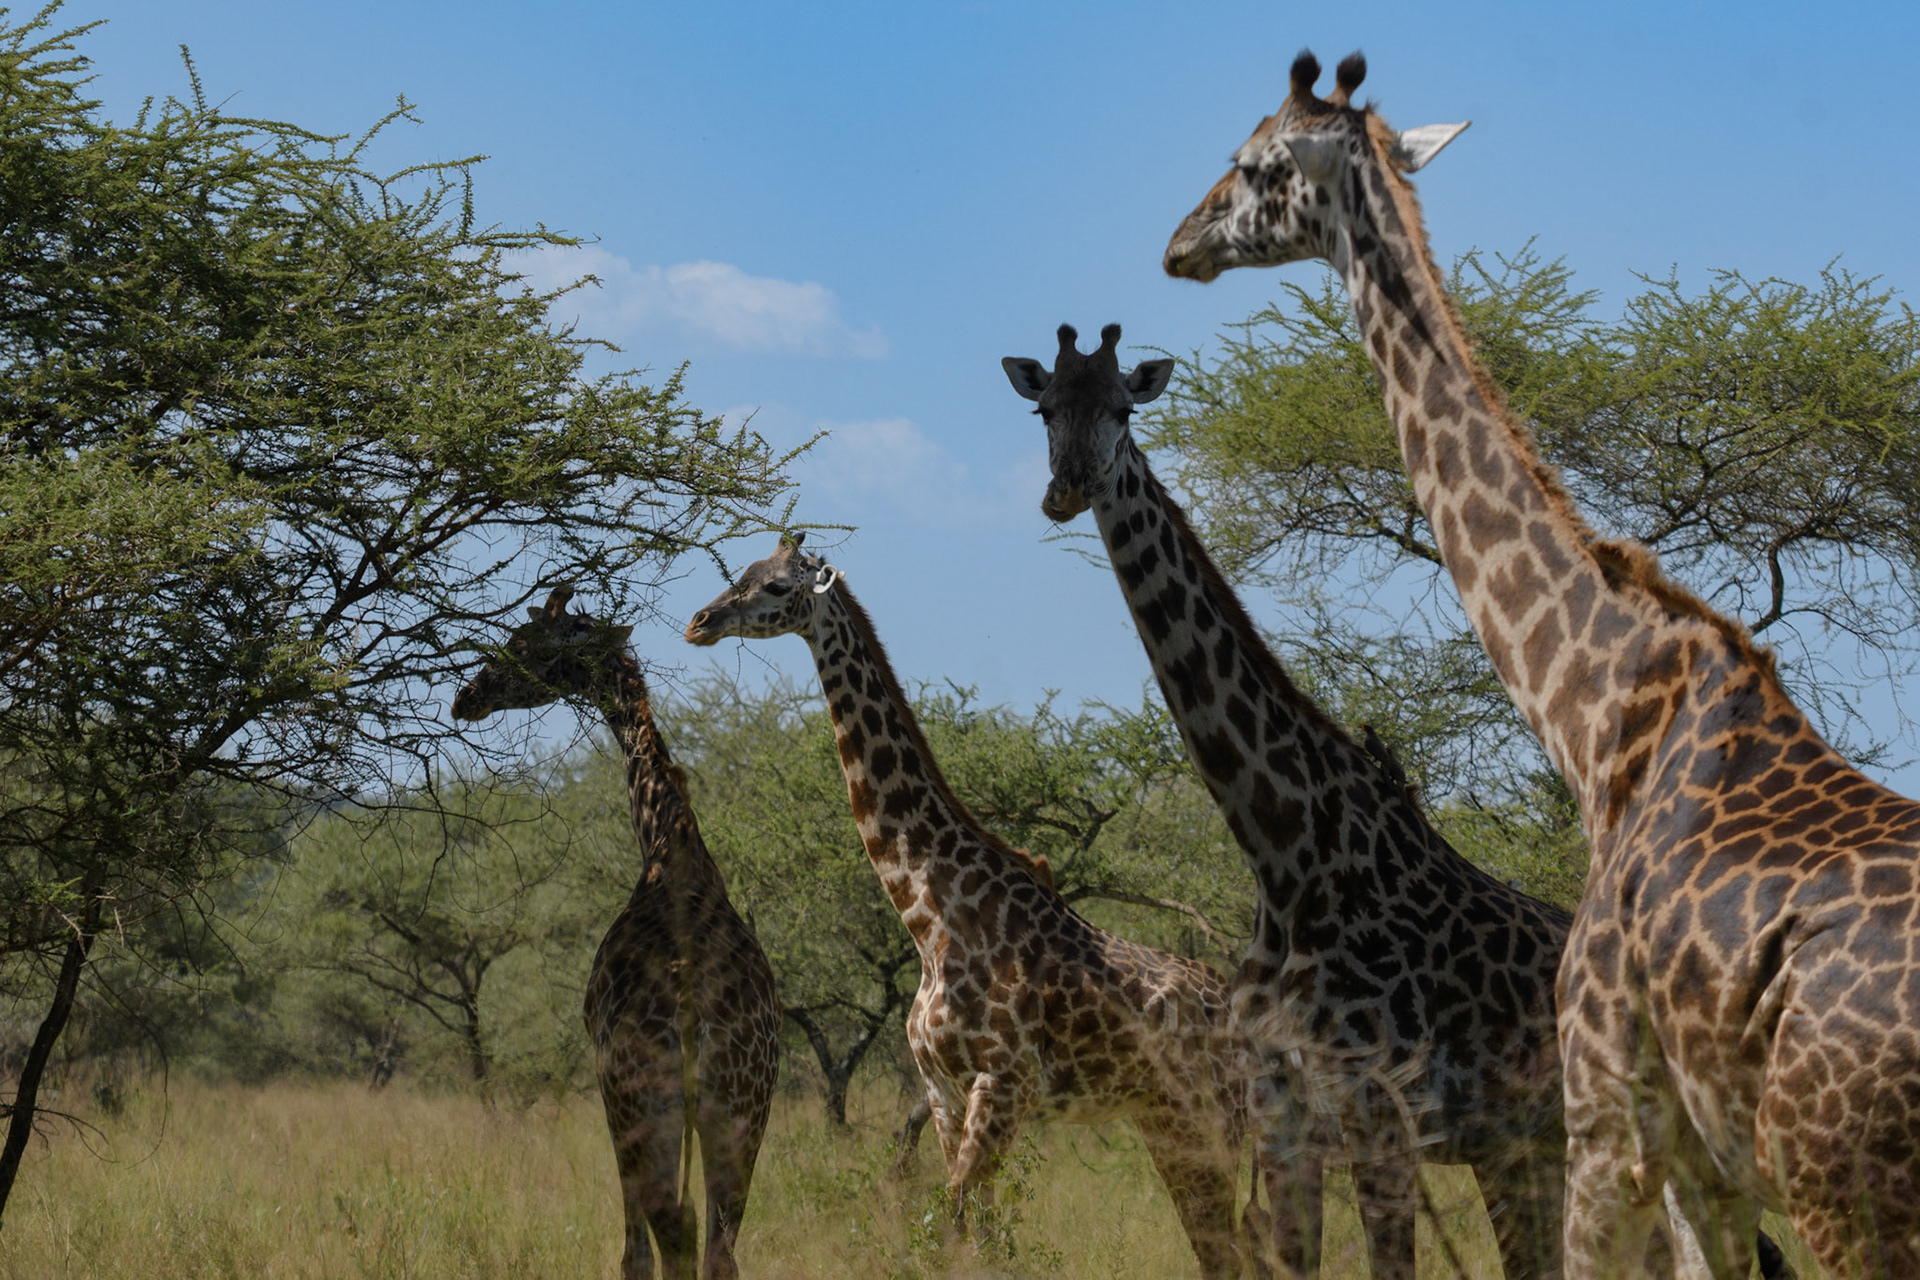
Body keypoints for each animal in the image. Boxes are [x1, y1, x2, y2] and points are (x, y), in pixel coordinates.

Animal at [452, 588, 780, 1280]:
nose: (466, 696)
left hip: (640, 1105)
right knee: (720, 1249)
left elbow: (633, 1254)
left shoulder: (605, 1083)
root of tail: (690, 1018)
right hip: (744, 1109)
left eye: (525, 645)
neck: (667, 840)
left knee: (669, 1237)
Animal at [685, 535, 1250, 1278]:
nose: (701, 622)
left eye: (778, 586)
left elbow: (958, 1226)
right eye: (741, 572)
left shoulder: (1002, 1085)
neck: (930, 920)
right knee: (1219, 1241)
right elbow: (972, 1235)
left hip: (1214, 1118)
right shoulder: (943, 1094)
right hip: (1164, 1118)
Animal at [1004, 323, 1580, 1280]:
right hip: (1526, 1146)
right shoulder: (1284, 1123)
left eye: (1124, 409)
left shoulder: (1381, 1117)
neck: (1285, 853)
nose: (1067, 490)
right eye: (1045, 408)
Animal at [1162, 48, 1905, 1277]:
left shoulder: (1607, 1110)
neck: (1600, 717)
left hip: (1843, 1187)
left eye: (1257, 163)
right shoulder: (1702, 1160)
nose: (1179, 241)